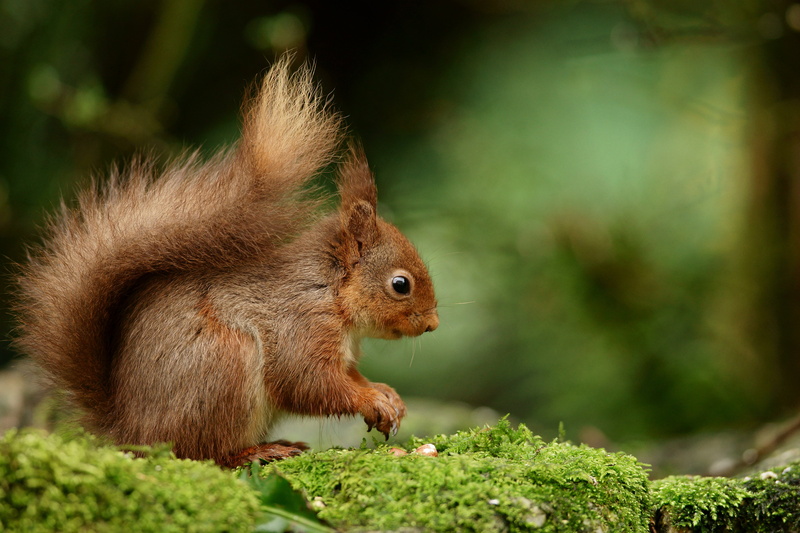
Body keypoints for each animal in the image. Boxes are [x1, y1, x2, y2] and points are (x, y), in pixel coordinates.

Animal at [14, 56, 439, 467]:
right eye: (400, 285)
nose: (433, 324)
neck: (330, 291)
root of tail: (130, 433)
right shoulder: (299, 325)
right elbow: (309, 383)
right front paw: (371, 400)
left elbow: (350, 377)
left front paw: (386, 394)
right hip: (225, 365)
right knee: (204, 452)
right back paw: (258, 451)